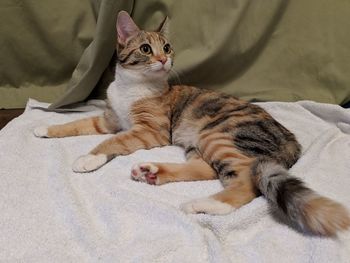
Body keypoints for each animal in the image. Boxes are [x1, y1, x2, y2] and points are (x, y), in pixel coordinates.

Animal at [34, 10, 350, 237]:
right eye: (146, 49)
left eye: (167, 47)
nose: (164, 59)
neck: (131, 87)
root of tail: (290, 138)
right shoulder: (109, 119)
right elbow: (77, 124)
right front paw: (45, 128)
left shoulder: (150, 131)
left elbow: (113, 141)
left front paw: (88, 157)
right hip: (198, 143)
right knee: (206, 170)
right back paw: (152, 172)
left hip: (218, 135)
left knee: (245, 181)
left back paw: (204, 204)